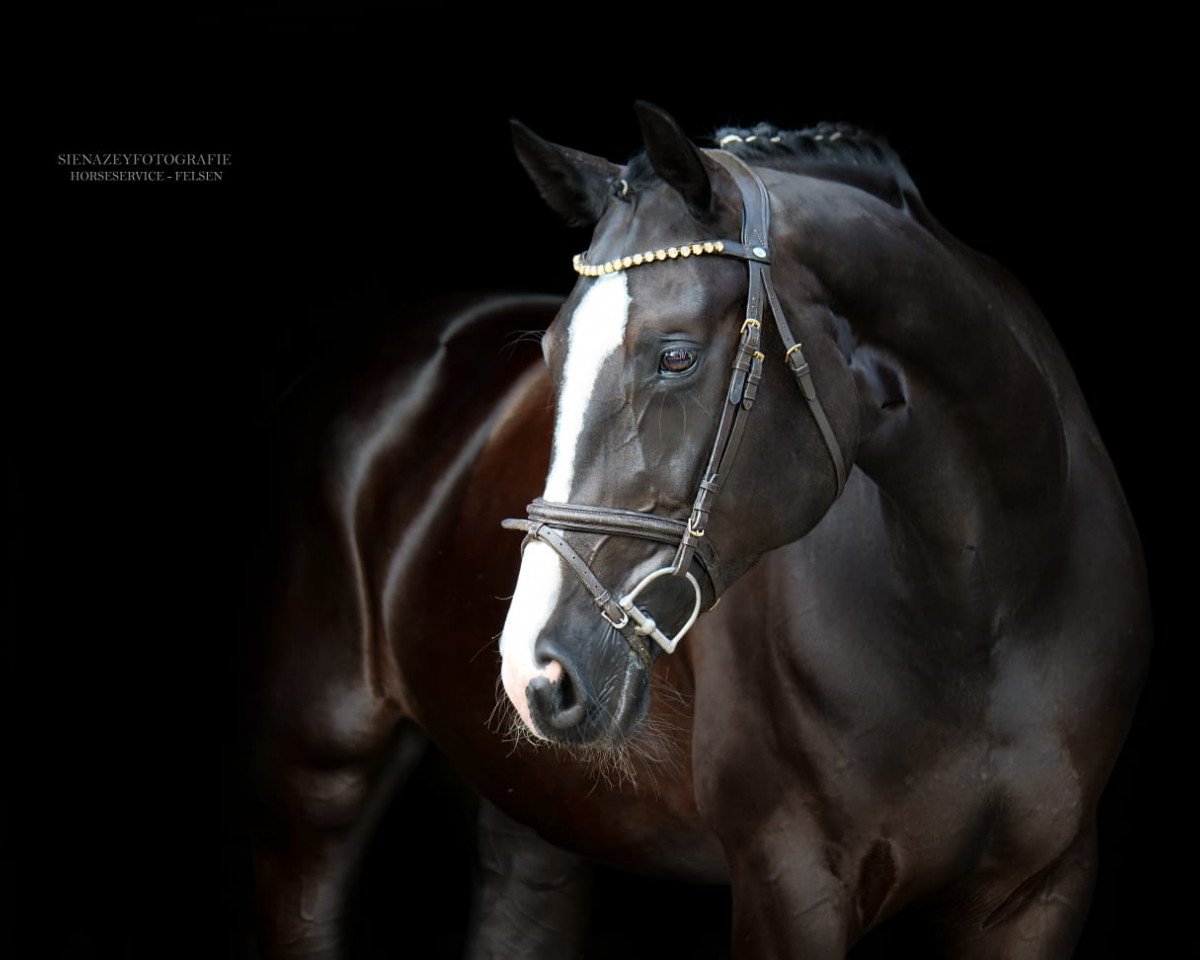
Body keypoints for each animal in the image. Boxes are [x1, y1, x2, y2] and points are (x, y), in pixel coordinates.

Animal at [250, 103, 1151, 959]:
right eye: (550, 354)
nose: (534, 668)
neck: (986, 601)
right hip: (315, 779)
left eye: (675, 356)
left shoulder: (1039, 892)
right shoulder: (790, 883)